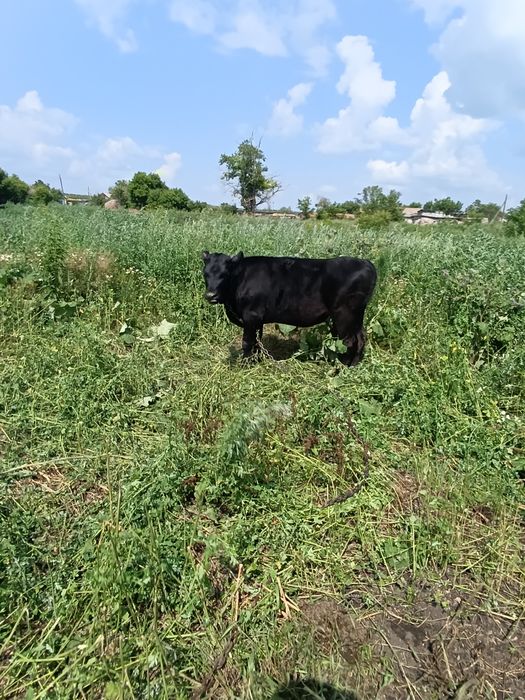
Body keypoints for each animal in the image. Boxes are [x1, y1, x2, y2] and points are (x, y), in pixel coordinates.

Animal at [202, 251, 377, 366]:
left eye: (225, 274)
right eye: (205, 274)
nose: (211, 295)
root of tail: (365, 262)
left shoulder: (251, 315)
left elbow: (247, 342)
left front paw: (245, 365)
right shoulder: (257, 318)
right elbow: (258, 341)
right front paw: (257, 361)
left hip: (345, 314)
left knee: (349, 340)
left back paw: (343, 366)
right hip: (355, 316)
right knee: (361, 337)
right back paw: (353, 364)